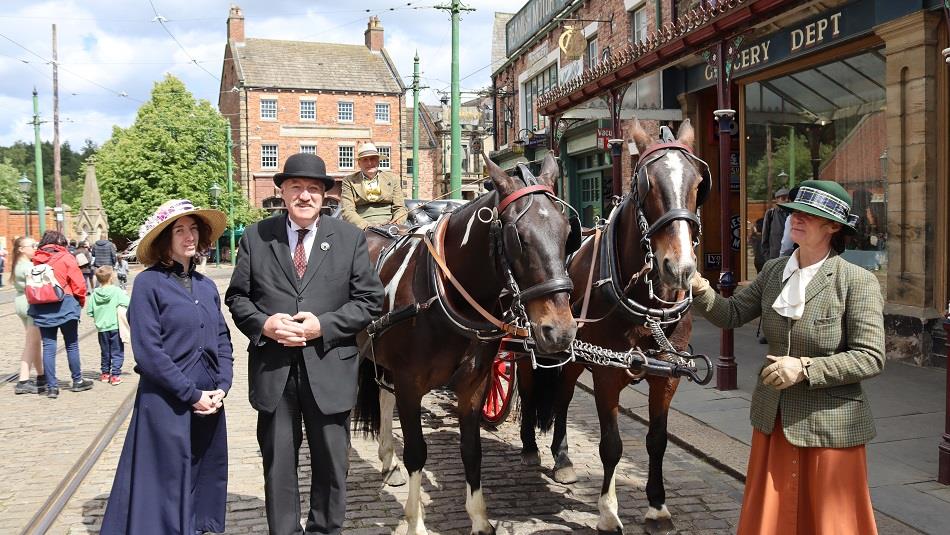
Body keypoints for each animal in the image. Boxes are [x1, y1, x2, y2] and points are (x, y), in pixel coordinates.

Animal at [356, 152, 580, 535]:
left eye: (567, 233)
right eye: (519, 236)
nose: (560, 331)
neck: (443, 291)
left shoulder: (474, 384)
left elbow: (472, 450)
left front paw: (479, 518)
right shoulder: (410, 383)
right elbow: (417, 451)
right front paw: (415, 522)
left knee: (383, 396)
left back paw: (389, 462)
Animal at [520, 119, 712, 532]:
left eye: (697, 184)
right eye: (646, 185)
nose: (680, 268)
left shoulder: (666, 377)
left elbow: (657, 440)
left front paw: (657, 507)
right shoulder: (607, 374)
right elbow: (611, 444)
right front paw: (608, 511)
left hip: (572, 357)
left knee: (562, 398)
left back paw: (563, 458)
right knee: (532, 392)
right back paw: (530, 447)